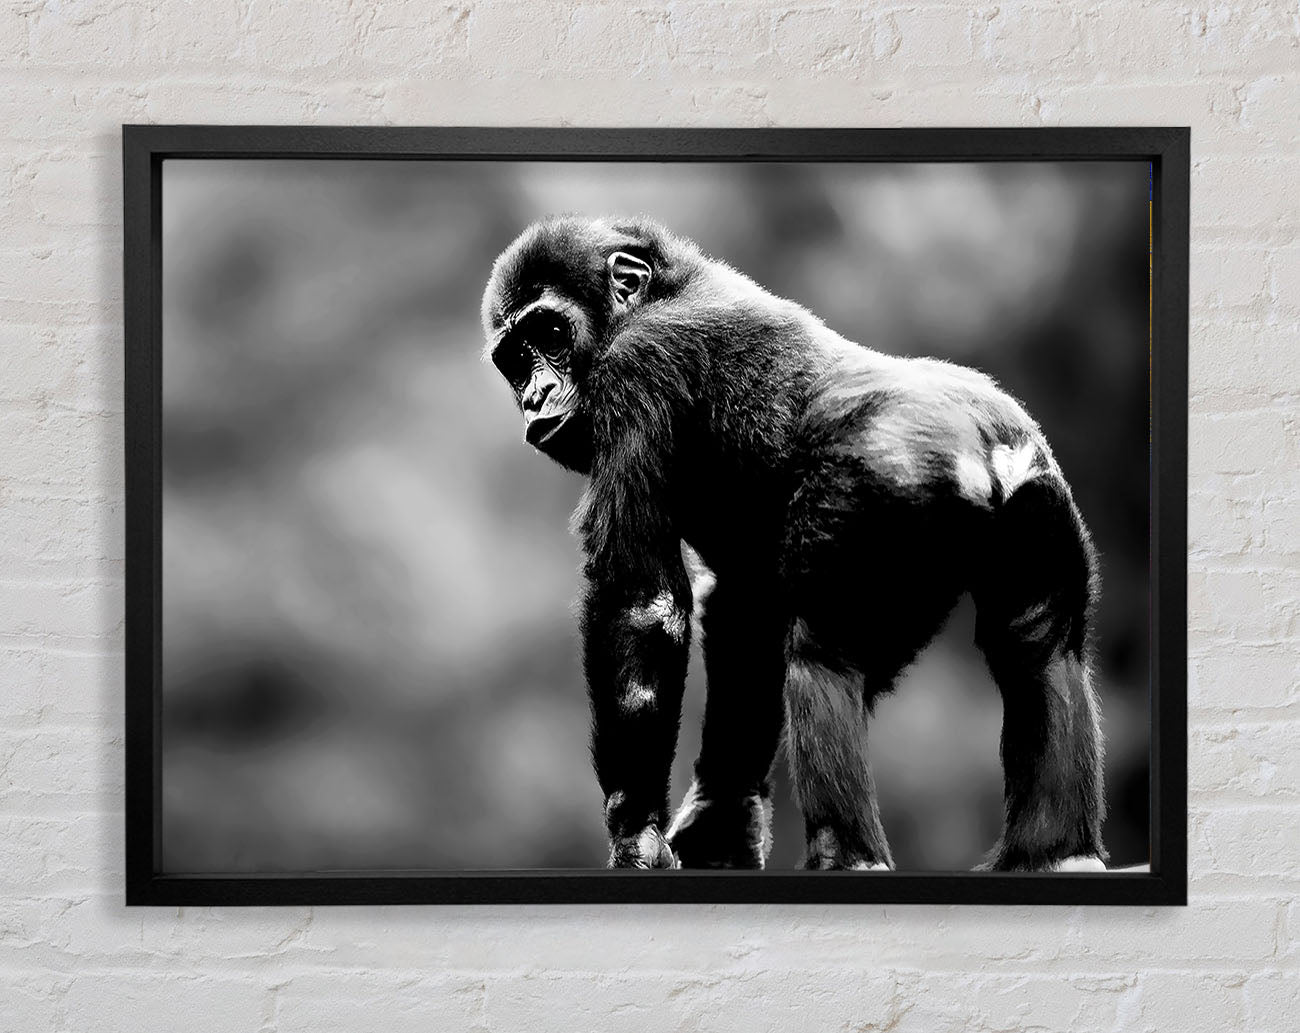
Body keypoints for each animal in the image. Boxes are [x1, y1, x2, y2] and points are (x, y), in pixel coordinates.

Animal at [480, 215, 1107, 873]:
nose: (534, 396)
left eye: (550, 335)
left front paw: (636, 832)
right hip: (1037, 494)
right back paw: (1056, 853)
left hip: (882, 486)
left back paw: (847, 854)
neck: (658, 293)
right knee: (1038, 646)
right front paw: (720, 823)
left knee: (823, 655)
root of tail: (983, 444)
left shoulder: (638, 367)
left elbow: (640, 605)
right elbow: (746, 617)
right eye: (515, 361)